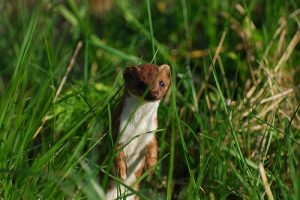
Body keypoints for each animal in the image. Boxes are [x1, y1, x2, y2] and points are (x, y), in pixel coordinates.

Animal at [106, 63, 171, 200]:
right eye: (141, 83)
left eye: (162, 83)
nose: (154, 94)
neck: (138, 127)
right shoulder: (117, 130)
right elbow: (116, 150)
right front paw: (122, 171)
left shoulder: (151, 133)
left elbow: (153, 147)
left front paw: (151, 168)